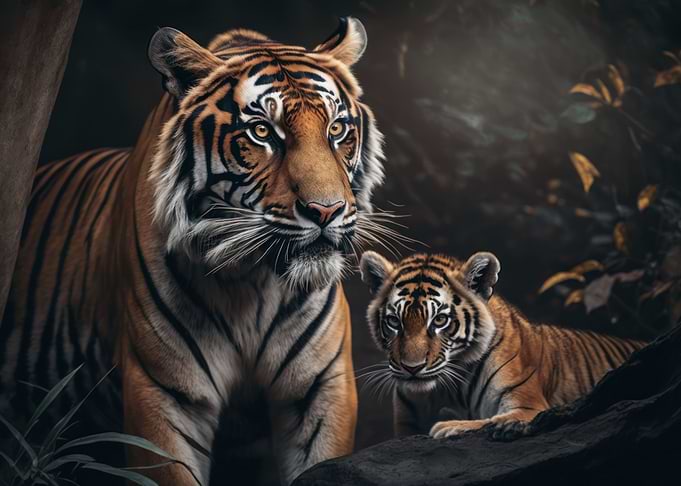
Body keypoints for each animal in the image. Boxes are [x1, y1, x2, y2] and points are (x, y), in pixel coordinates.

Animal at [0, 18, 386, 485]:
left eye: (336, 130)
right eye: (262, 132)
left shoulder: (320, 389)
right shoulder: (165, 394)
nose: (326, 210)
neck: (252, 280)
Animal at [358, 251, 647, 439]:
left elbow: (489, 421)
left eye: (440, 319)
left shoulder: (528, 406)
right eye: (394, 321)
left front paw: (448, 426)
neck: (446, 390)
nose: (412, 368)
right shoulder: (406, 426)